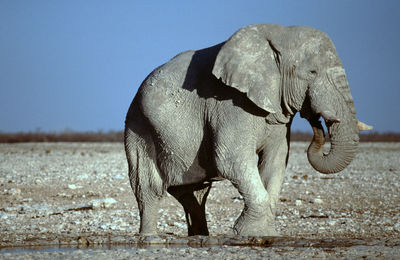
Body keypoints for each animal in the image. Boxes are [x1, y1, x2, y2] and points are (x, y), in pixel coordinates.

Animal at [125, 23, 372, 237]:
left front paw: (265, 234)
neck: (277, 36)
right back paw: (151, 239)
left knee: (195, 195)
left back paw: (200, 237)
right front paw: (249, 233)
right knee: (149, 188)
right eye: (312, 72)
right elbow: (231, 159)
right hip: (139, 127)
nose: (314, 118)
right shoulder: (229, 102)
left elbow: (275, 161)